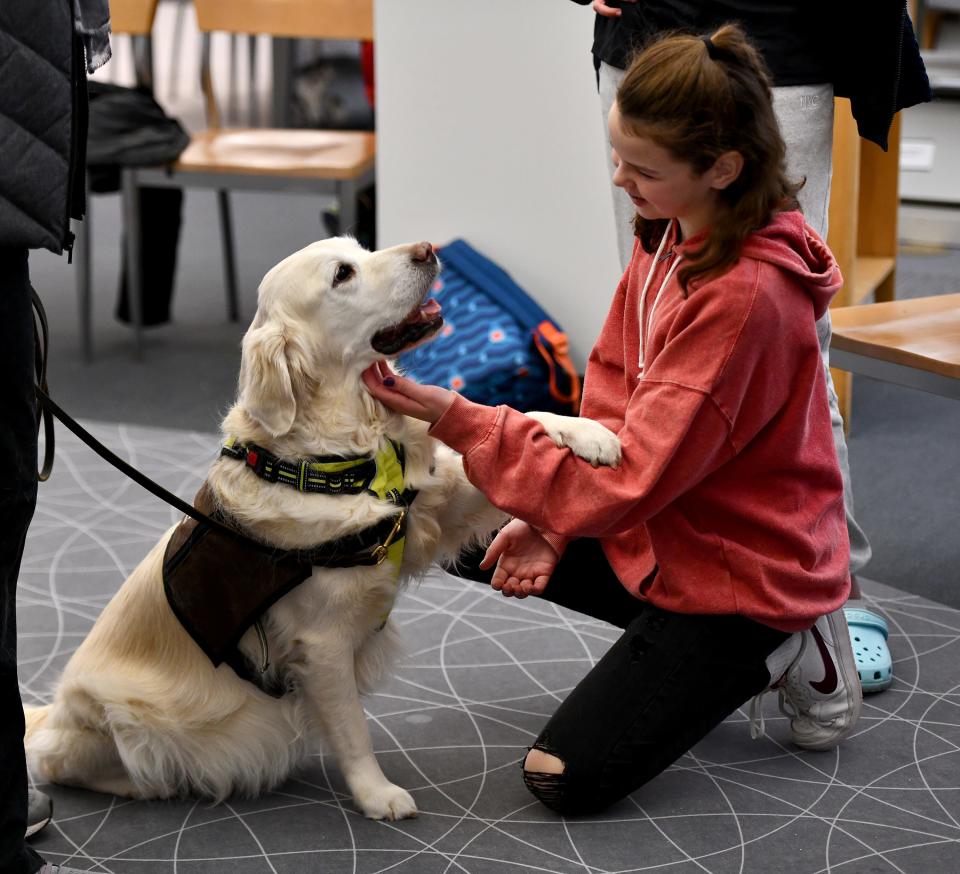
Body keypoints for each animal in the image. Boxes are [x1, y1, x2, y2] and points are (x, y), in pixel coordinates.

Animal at [26, 233, 624, 816]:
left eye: (360, 248)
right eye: (342, 275)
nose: (428, 250)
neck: (343, 458)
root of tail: (53, 713)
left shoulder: (435, 502)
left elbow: (518, 425)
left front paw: (590, 432)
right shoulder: (323, 645)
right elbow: (353, 729)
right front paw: (377, 795)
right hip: (130, 719)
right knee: (61, 764)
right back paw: (148, 785)